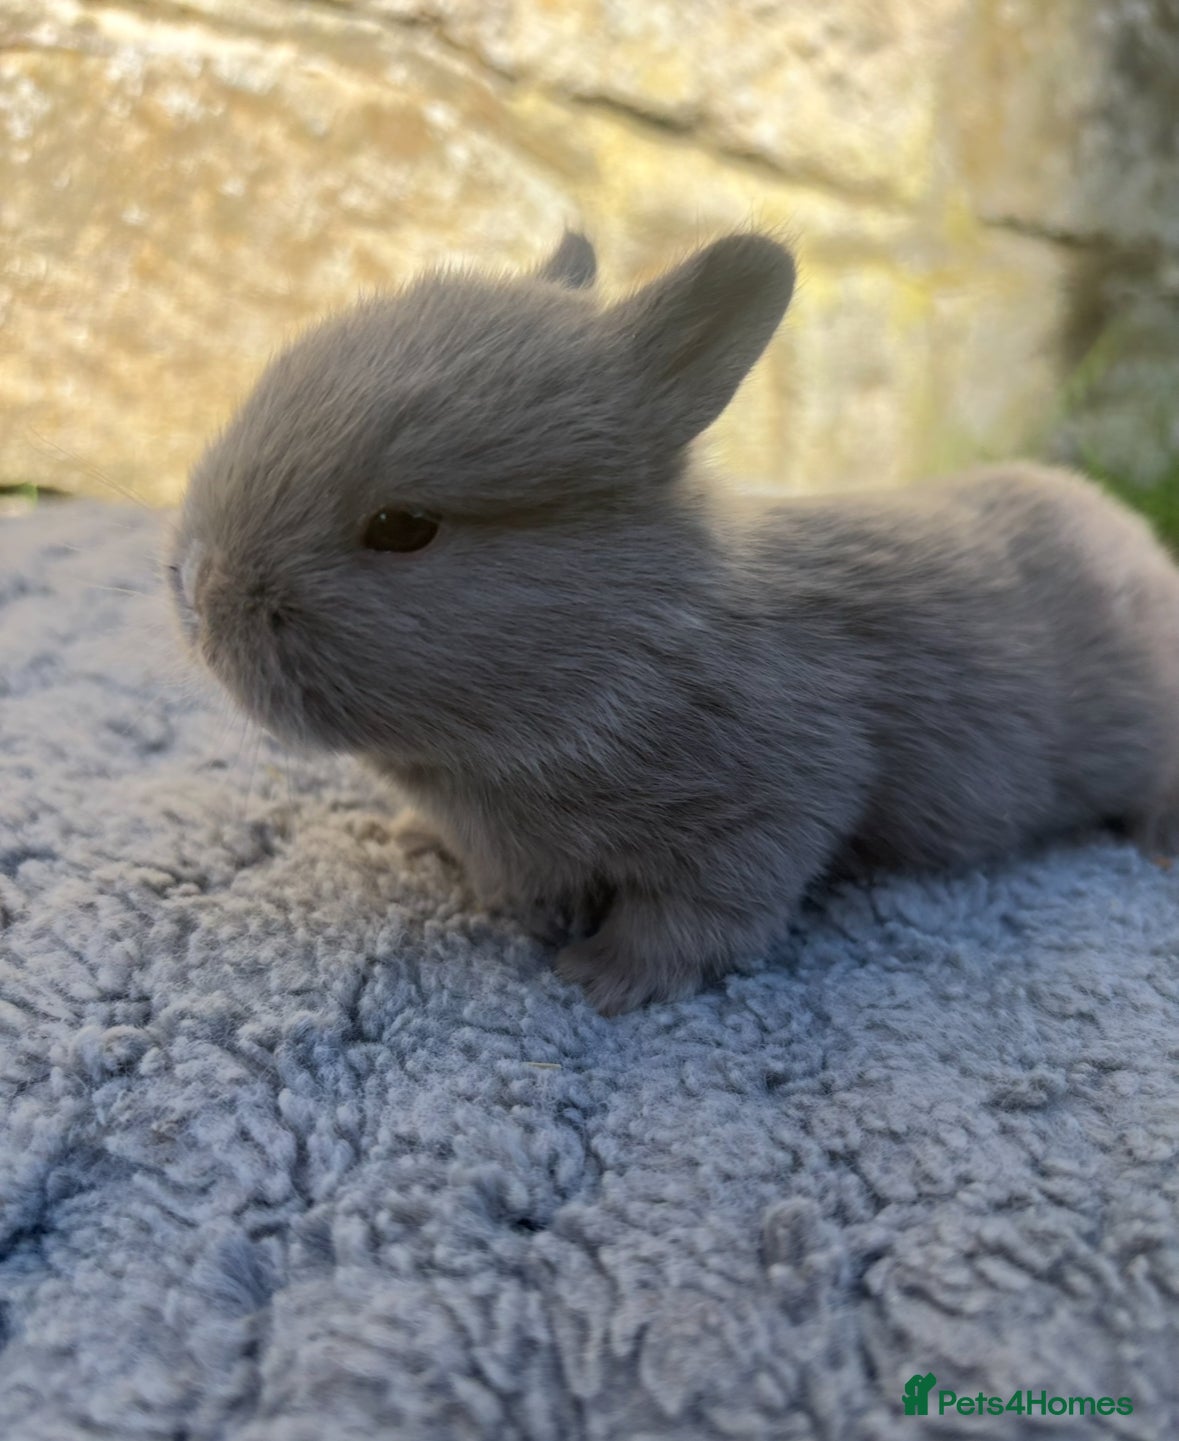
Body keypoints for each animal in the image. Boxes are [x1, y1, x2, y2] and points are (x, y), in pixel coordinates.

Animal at [170, 228, 1179, 1015]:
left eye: (403, 526)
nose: (194, 591)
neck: (632, 645)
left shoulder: (776, 804)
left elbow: (703, 913)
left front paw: (601, 979)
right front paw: (413, 839)